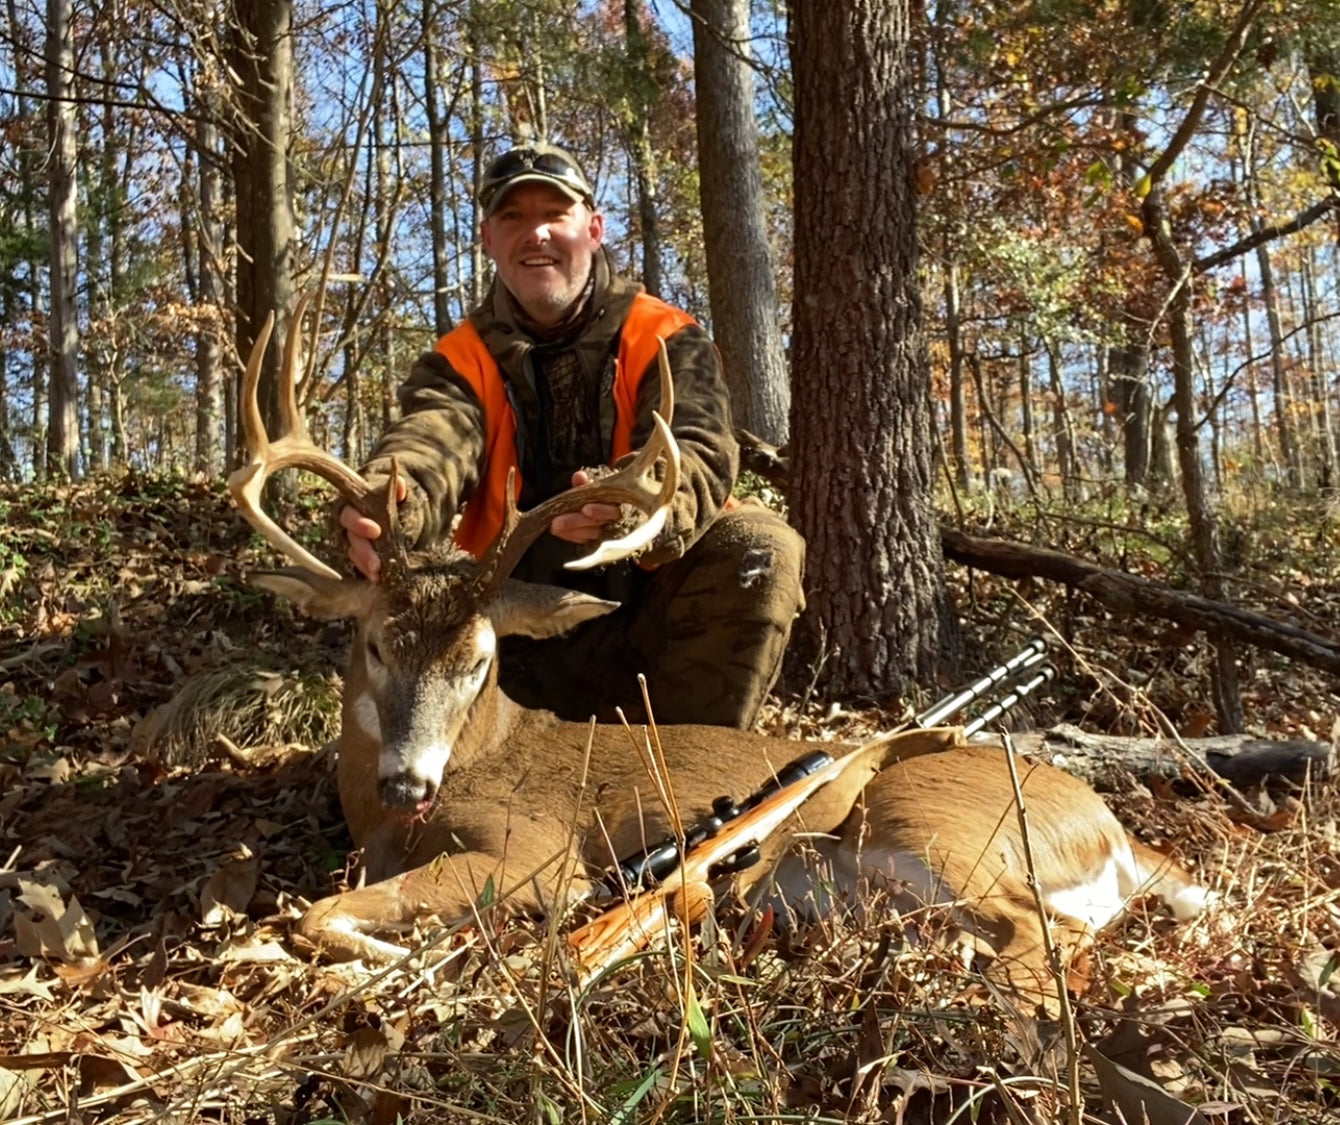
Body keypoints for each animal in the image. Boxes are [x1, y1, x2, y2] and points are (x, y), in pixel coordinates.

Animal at [228, 298, 1214, 1002]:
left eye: (481, 659)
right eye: (371, 640)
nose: (409, 781)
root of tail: (1118, 831)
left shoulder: (535, 853)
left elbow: (320, 914)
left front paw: (396, 955)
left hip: (931, 818)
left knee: (1044, 932)